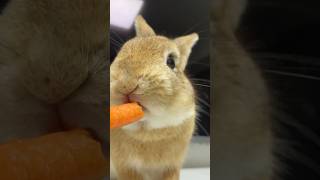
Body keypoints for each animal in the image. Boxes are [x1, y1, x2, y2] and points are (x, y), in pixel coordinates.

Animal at [110, 15, 199, 180]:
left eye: (171, 61)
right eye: (122, 50)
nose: (127, 84)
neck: (147, 130)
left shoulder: (171, 166)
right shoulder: (125, 167)